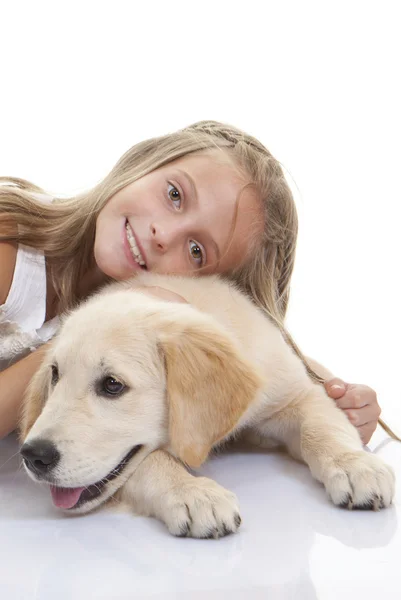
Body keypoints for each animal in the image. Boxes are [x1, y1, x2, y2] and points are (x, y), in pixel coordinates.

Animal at [19, 272, 394, 540]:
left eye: (112, 385)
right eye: (55, 375)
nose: (34, 456)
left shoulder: (295, 393)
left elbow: (322, 426)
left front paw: (355, 465)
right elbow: (151, 459)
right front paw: (193, 493)